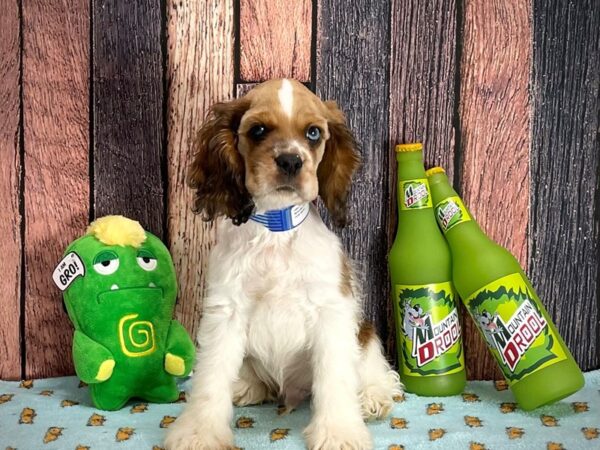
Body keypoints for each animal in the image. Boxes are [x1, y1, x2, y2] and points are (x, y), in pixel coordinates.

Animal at [164, 79, 400, 450]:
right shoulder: (226, 312)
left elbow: (335, 378)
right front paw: (199, 432)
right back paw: (247, 386)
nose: (290, 160)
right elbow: (210, 377)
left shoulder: (331, 311)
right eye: (258, 130)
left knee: (374, 368)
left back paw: (372, 397)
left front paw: (339, 432)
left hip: (365, 332)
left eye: (314, 133)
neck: (275, 230)